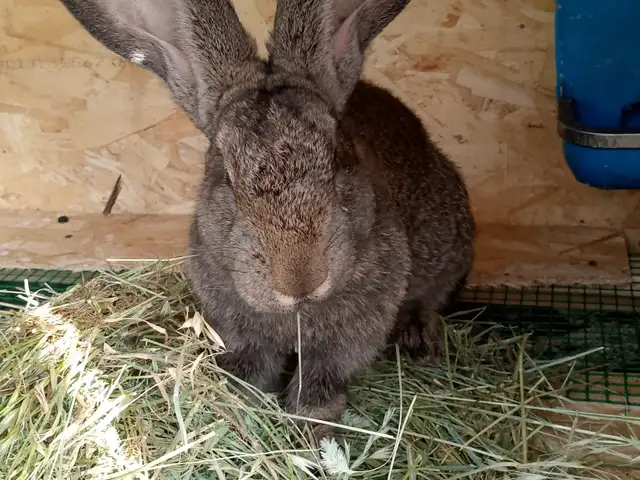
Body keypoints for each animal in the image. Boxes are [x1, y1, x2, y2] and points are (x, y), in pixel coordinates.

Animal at [60, 0, 475, 437]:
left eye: (339, 157)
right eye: (225, 174)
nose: (299, 279)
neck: (296, 312)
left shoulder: (346, 338)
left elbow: (320, 382)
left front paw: (311, 428)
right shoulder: (239, 330)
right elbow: (252, 370)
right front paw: (237, 406)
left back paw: (420, 340)